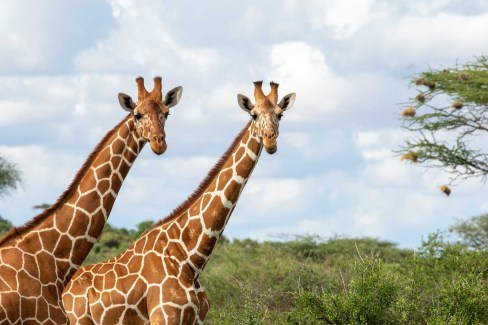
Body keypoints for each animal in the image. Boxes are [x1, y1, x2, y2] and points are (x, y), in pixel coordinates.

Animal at [61, 81, 298, 324]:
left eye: (280, 115)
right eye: (254, 115)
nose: (270, 140)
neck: (190, 259)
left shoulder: (197, 319)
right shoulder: (166, 316)